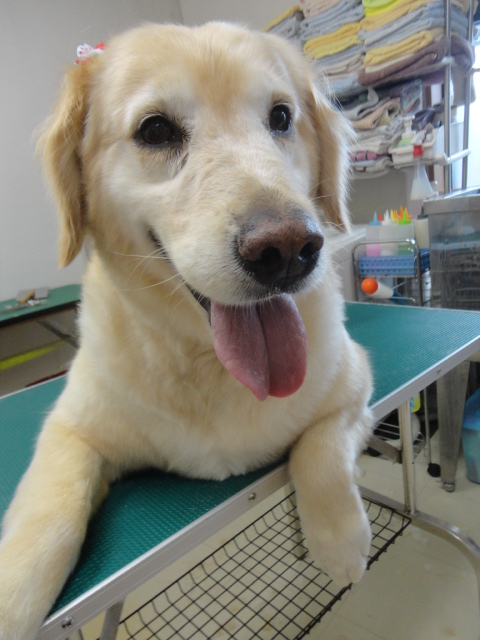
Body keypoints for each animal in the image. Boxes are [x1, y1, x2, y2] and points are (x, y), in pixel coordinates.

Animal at [0, 22, 373, 640]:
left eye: (280, 117)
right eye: (155, 130)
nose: (289, 250)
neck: (206, 359)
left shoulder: (353, 382)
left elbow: (320, 451)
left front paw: (340, 542)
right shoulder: (70, 428)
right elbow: (50, 517)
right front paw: (12, 598)